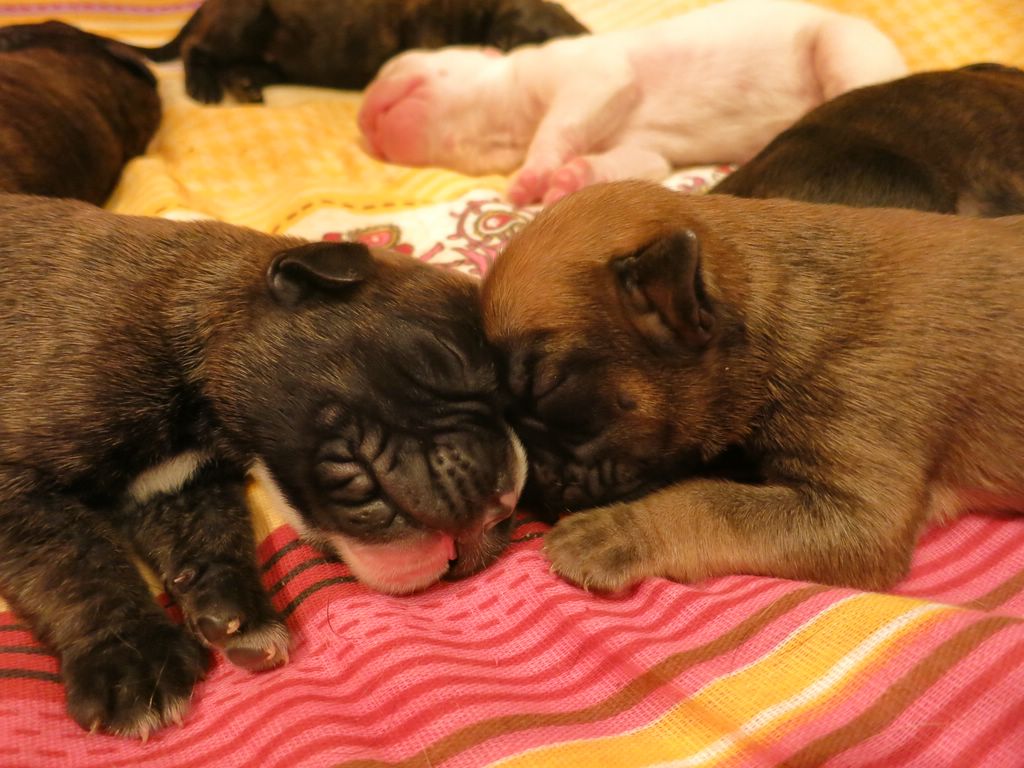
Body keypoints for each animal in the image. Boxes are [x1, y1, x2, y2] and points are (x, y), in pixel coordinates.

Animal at [0, 195, 525, 737]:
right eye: (448, 356)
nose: (510, 499)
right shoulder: (17, 488)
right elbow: (77, 564)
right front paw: (135, 661)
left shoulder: (181, 483)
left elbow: (212, 529)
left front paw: (236, 611)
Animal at [358, 0, 906, 205]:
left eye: (393, 68)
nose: (361, 120)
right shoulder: (640, 149)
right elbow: (641, 162)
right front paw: (570, 178)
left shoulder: (590, 75)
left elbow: (559, 126)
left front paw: (534, 175)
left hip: (844, 45)